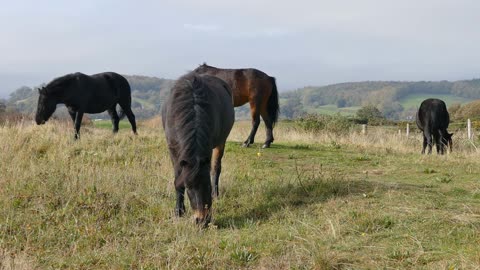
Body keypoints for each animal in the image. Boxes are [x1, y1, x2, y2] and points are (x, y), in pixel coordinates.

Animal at [162, 72, 235, 226]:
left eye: (207, 185)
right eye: (189, 187)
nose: (202, 220)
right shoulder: (173, 152)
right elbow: (177, 181)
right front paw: (179, 211)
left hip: (221, 142)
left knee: (216, 168)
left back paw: (216, 194)